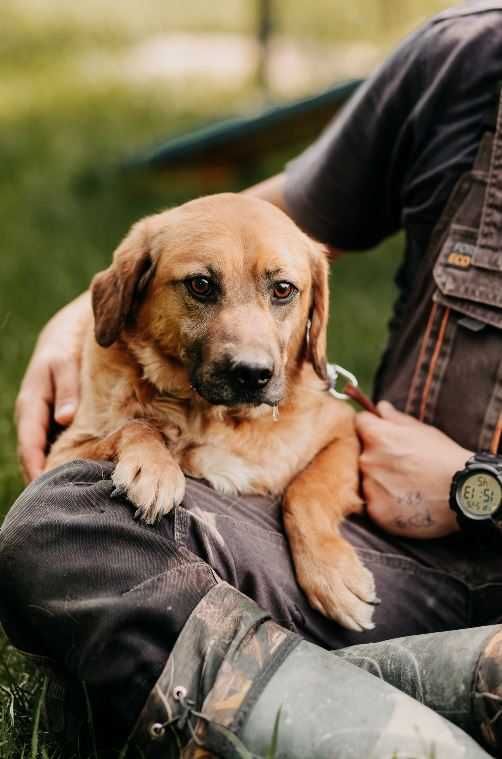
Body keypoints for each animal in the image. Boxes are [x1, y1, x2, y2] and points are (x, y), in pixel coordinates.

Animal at [47, 194, 376, 628]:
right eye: (201, 285)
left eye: (283, 289)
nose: (252, 374)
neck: (216, 418)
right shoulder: (62, 453)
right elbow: (135, 427)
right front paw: (154, 468)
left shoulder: (346, 431)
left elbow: (307, 491)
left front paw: (332, 574)